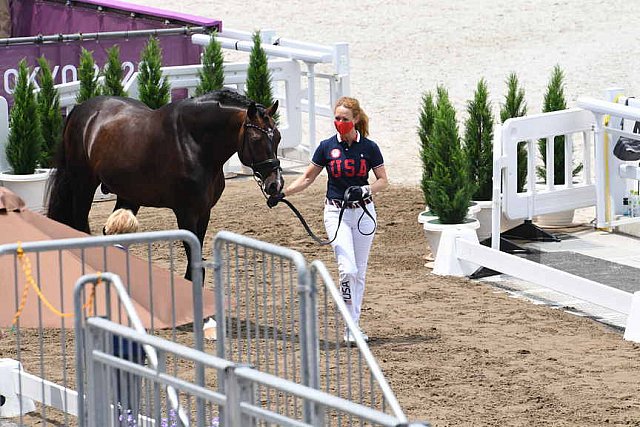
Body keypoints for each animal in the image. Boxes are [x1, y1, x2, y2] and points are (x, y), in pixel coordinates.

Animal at [47, 88, 282, 280]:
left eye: (278, 137)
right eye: (255, 139)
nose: (275, 184)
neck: (193, 143)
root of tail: (79, 109)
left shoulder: (204, 212)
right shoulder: (186, 213)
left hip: (128, 196)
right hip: (83, 186)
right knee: (80, 225)